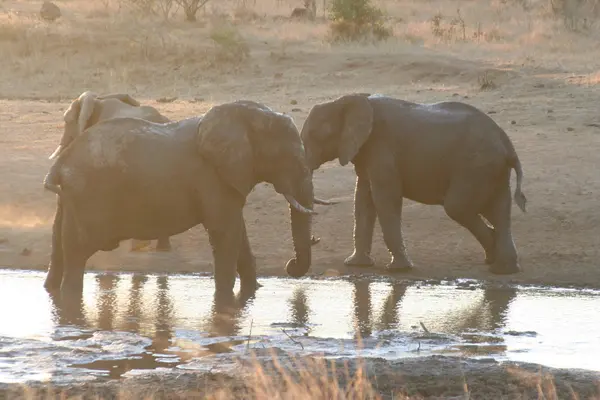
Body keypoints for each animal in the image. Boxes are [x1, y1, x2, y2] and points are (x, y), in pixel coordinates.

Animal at [302, 93, 528, 276]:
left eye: (314, 136)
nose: (315, 239)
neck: (348, 100)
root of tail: (507, 143)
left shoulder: (381, 148)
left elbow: (385, 198)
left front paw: (398, 269)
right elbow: (363, 200)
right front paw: (356, 265)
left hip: (476, 166)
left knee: (458, 207)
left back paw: (496, 255)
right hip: (490, 169)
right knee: (498, 210)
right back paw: (502, 266)